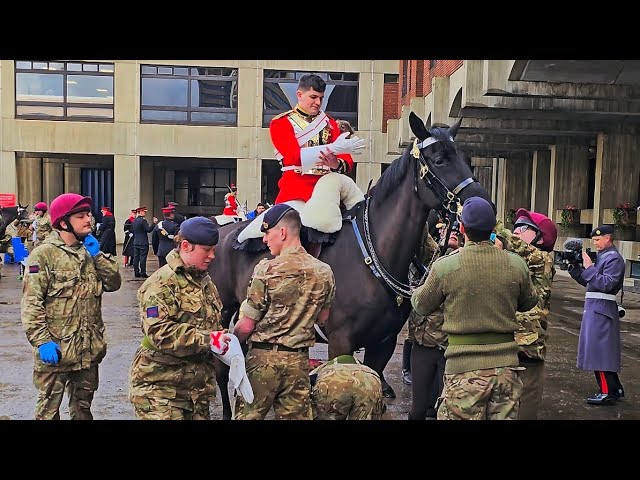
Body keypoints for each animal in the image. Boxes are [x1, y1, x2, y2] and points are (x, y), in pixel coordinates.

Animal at [208, 111, 488, 416]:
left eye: (466, 158)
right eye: (439, 160)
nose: (482, 202)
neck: (373, 252)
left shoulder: (383, 344)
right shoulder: (340, 343)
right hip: (223, 312)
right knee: (222, 369)